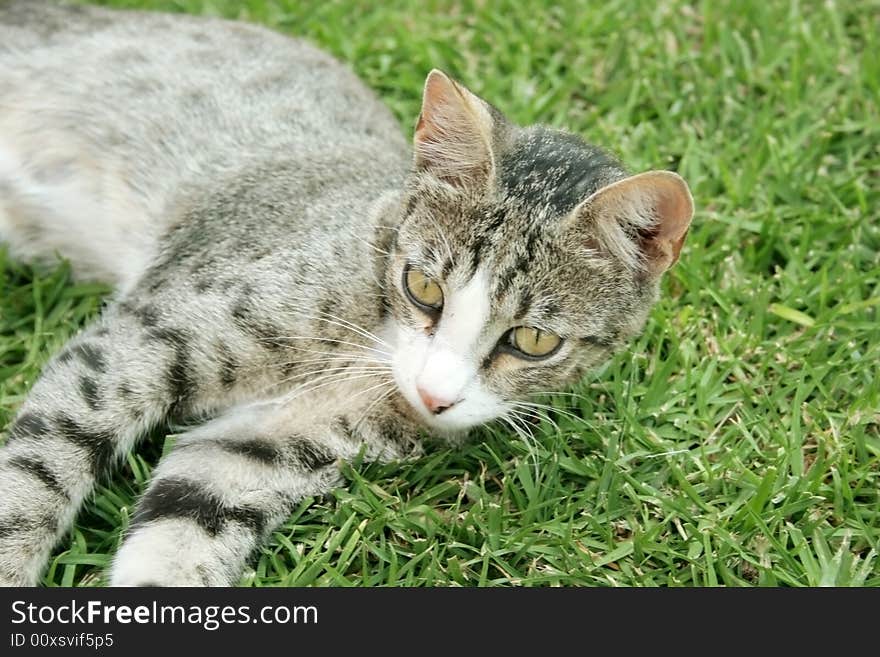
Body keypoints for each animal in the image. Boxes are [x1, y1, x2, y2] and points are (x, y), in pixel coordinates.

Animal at [0, 0, 696, 584]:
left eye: (533, 340)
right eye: (423, 285)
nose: (434, 396)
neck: (371, 344)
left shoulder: (257, 451)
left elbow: (184, 529)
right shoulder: (142, 343)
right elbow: (35, 472)